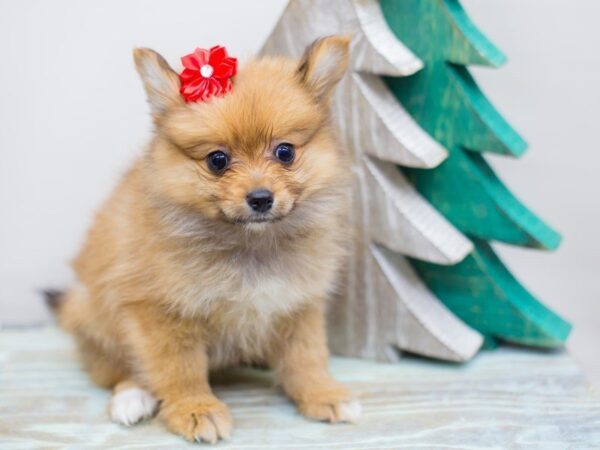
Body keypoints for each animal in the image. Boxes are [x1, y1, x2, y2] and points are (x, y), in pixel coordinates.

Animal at [49, 36, 358, 442]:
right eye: (217, 160)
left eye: (285, 152)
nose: (260, 198)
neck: (249, 245)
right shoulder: (159, 311)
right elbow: (179, 369)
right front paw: (195, 410)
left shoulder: (298, 305)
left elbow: (306, 357)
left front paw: (322, 394)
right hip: (97, 320)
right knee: (117, 370)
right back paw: (132, 398)